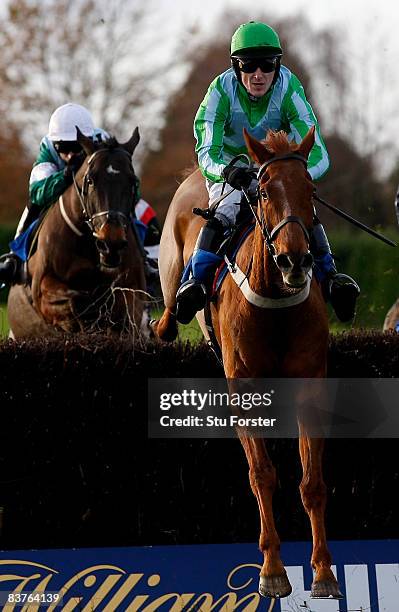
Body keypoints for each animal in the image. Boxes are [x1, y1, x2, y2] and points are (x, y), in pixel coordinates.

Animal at [7, 130, 146, 340]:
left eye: (133, 181)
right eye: (90, 180)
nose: (111, 243)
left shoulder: (132, 290)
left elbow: (124, 313)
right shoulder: (42, 289)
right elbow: (71, 302)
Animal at [151, 126, 344, 600]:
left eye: (310, 190)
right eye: (264, 191)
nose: (295, 259)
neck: (275, 303)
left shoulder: (310, 382)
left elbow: (312, 481)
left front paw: (323, 572)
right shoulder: (243, 388)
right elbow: (262, 473)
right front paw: (273, 570)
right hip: (170, 271)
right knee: (168, 315)